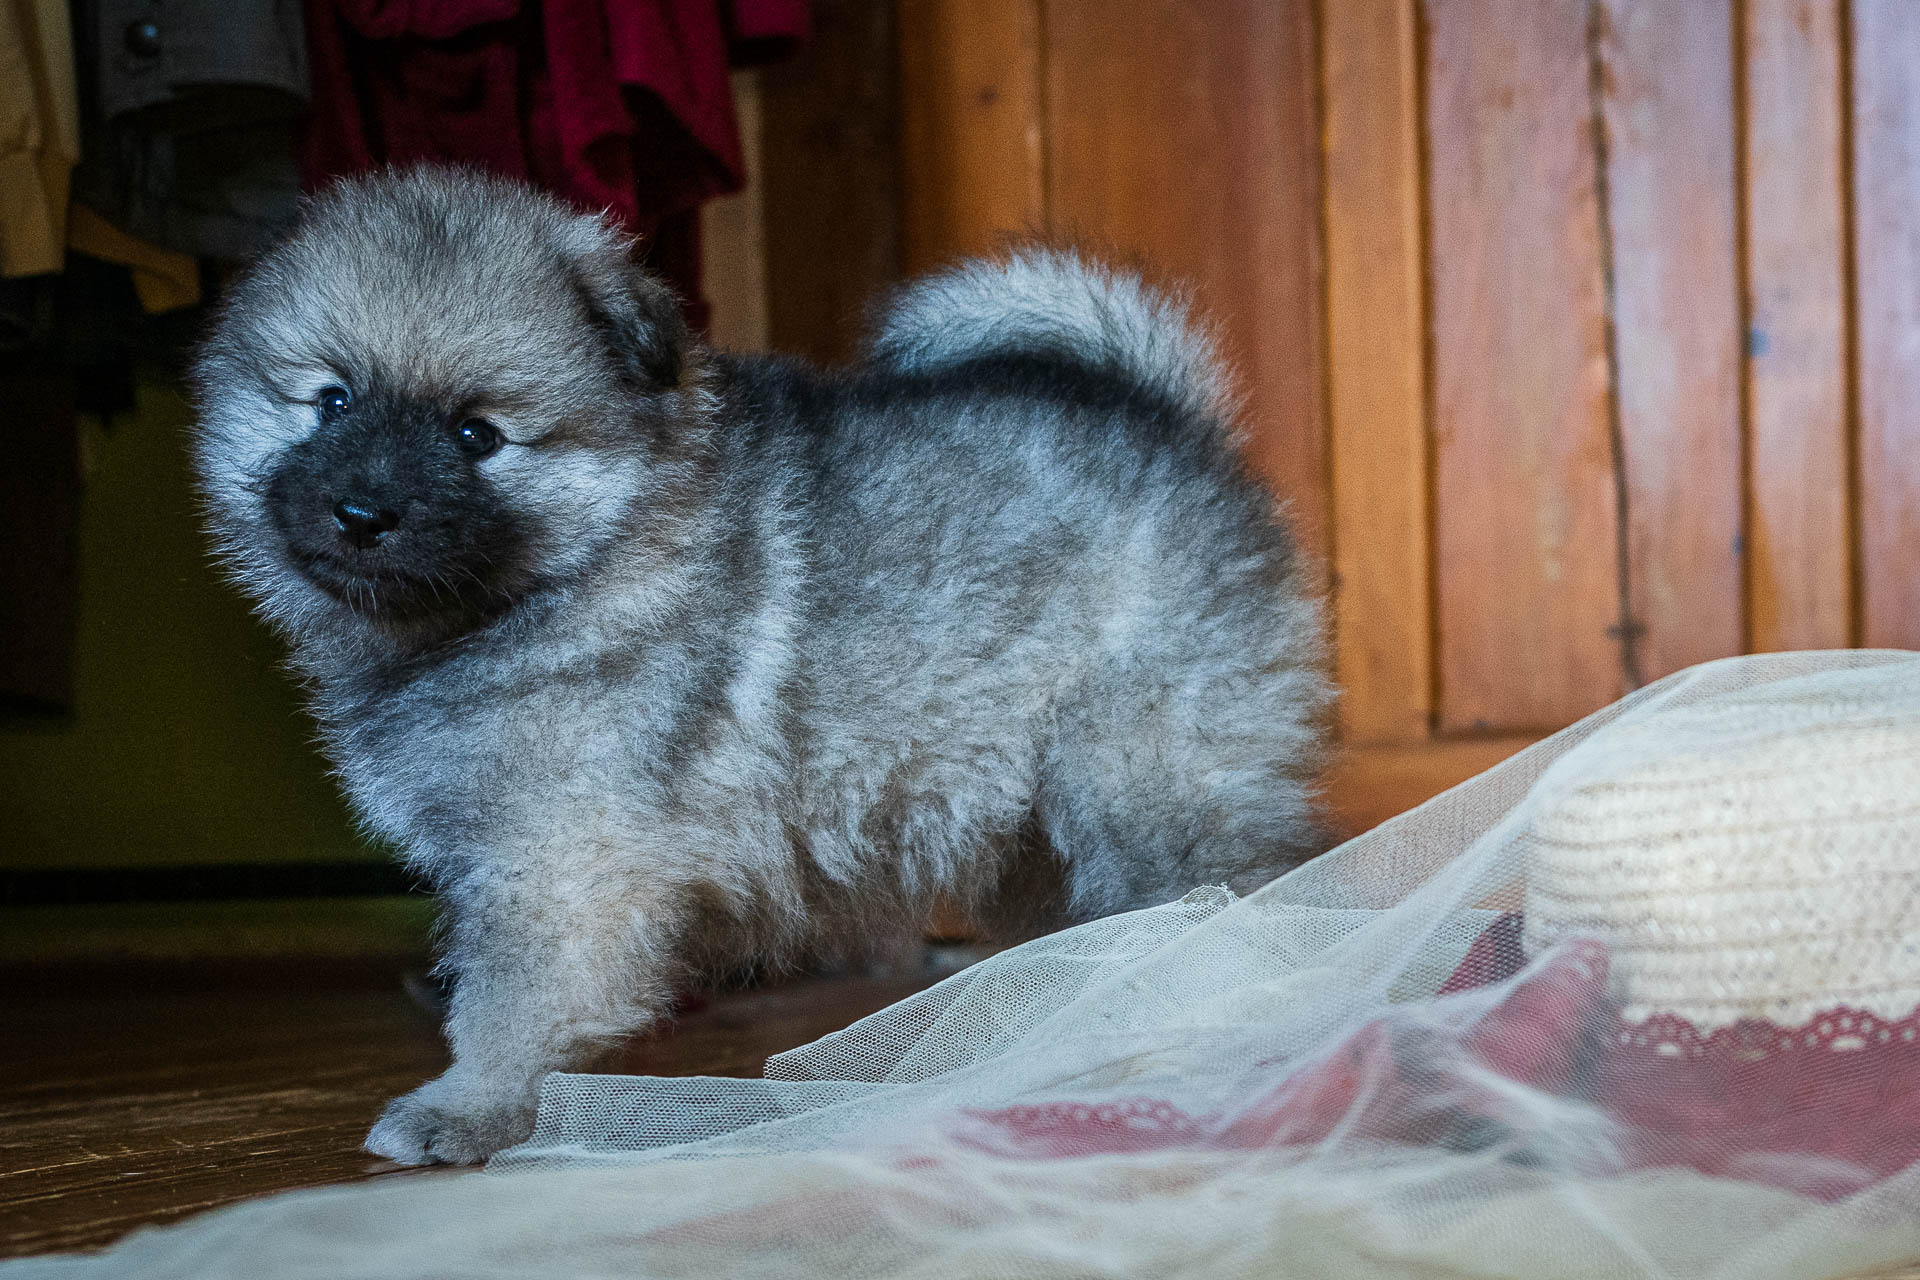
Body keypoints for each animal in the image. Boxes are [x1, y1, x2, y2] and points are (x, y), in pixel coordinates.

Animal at [194, 167, 1336, 1159]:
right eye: (332, 401)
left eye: (477, 434)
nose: (362, 513)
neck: (574, 567)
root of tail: (1169, 417)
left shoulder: (558, 861)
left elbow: (512, 1003)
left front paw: (467, 1109)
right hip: (1037, 831)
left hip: (1145, 784)